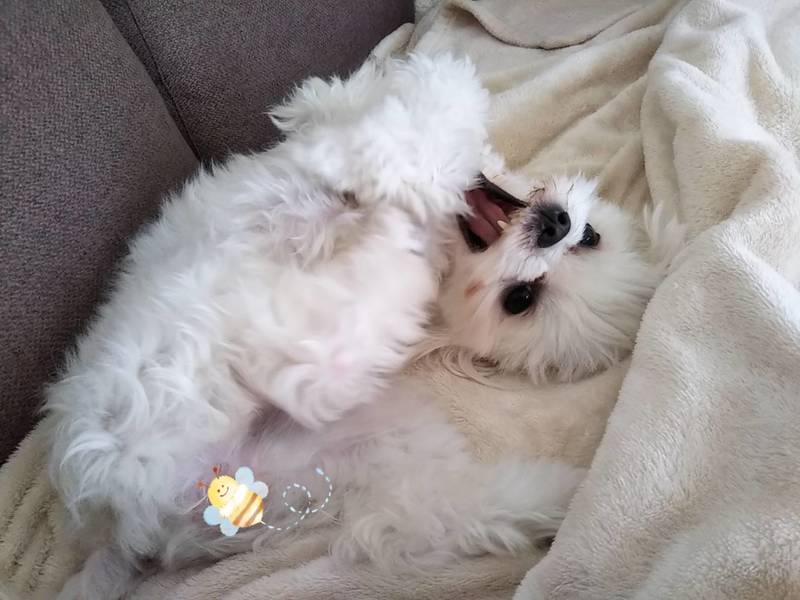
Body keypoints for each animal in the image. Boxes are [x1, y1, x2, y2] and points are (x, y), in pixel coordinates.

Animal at [46, 53, 681, 599]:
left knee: (330, 376)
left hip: (200, 383)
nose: (557, 225)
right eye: (590, 238)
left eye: (518, 299)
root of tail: (132, 525)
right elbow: (345, 104)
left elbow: (400, 146)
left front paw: (416, 136)